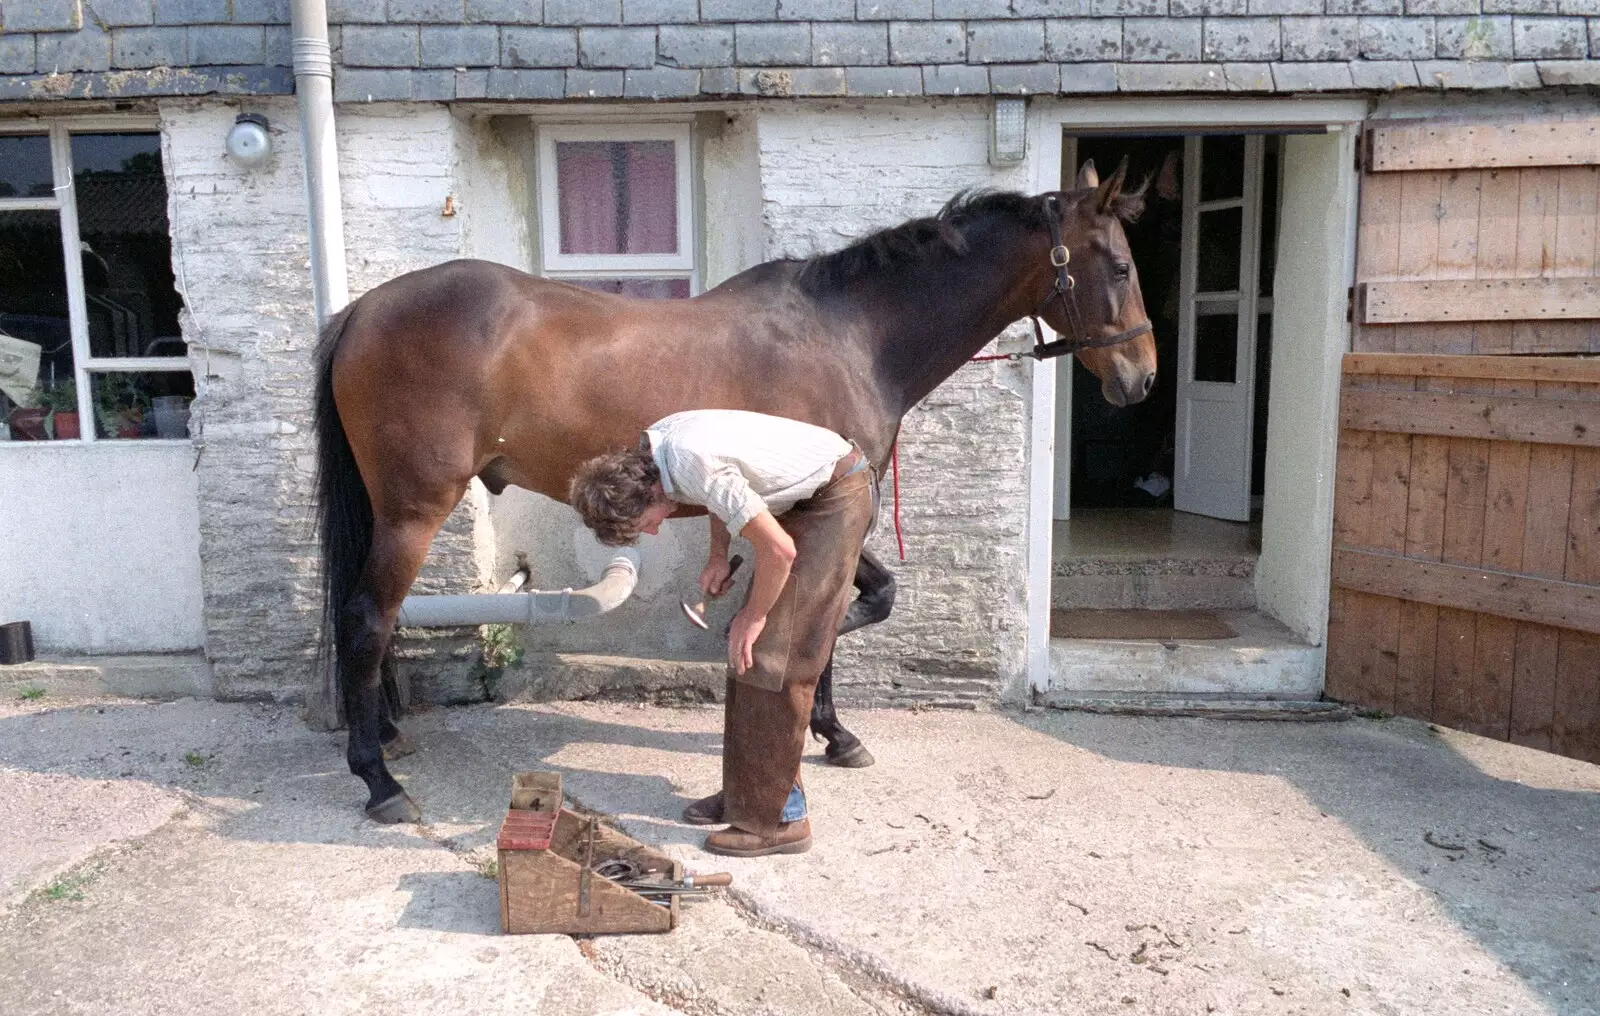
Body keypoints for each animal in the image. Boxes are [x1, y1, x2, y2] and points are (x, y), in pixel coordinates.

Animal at [318, 160, 1158, 825]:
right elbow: (834, 618)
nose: (1141, 377)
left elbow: (864, 602)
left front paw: (827, 723)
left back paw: (385, 736)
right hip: (413, 511)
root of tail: (361, 310)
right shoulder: (821, 510)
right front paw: (830, 726)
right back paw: (379, 782)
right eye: (1118, 266)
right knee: (367, 618)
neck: (853, 336)